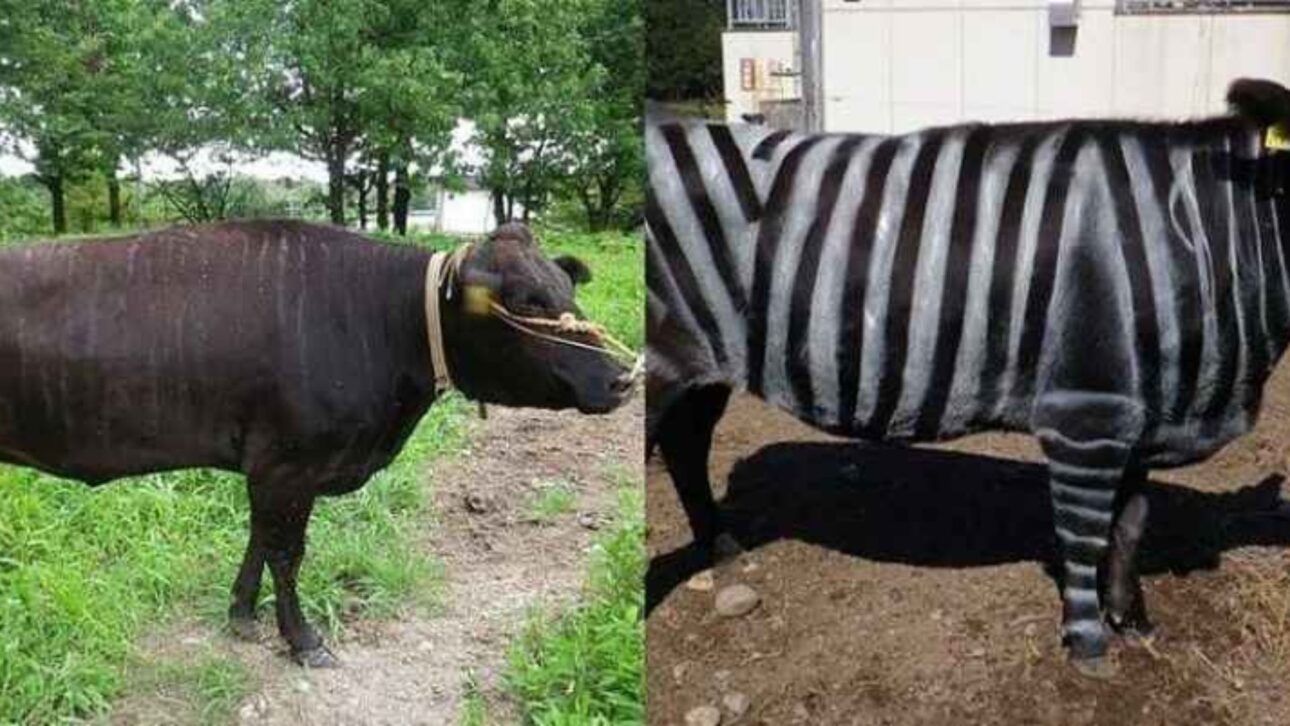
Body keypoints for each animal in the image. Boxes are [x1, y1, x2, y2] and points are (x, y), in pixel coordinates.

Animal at [0, 219, 633, 666]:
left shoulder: (269, 469)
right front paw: (302, 640)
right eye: (526, 300)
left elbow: (260, 540)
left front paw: (241, 614)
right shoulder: (288, 464)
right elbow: (287, 554)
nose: (621, 379)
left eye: (565, 288)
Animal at [646, 78, 1290, 677]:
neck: (1205, 235)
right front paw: (1088, 646)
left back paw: (721, 546)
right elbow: (1085, 535)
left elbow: (1129, 527)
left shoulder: (1140, 409)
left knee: (685, 445)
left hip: (708, 365)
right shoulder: (1087, 412)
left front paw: (1132, 619)